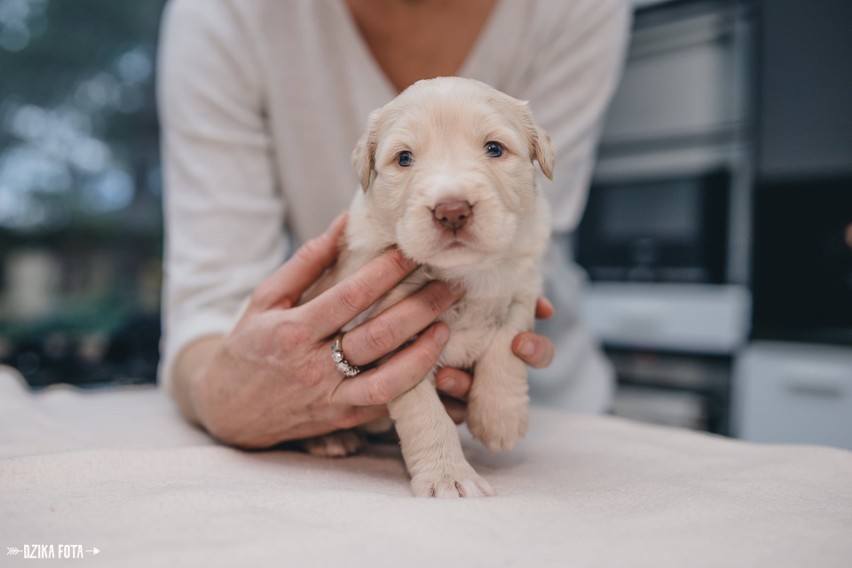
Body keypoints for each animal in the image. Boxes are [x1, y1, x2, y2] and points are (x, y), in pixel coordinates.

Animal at [306, 76, 552, 496]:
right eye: (404, 158)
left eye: (494, 148)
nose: (452, 211)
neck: (467, 272)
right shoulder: (395, 335)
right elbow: (424, 411)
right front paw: (449, 476)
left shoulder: (524, 285)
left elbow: (508, 341)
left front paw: (500, 417)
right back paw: (331, 438)